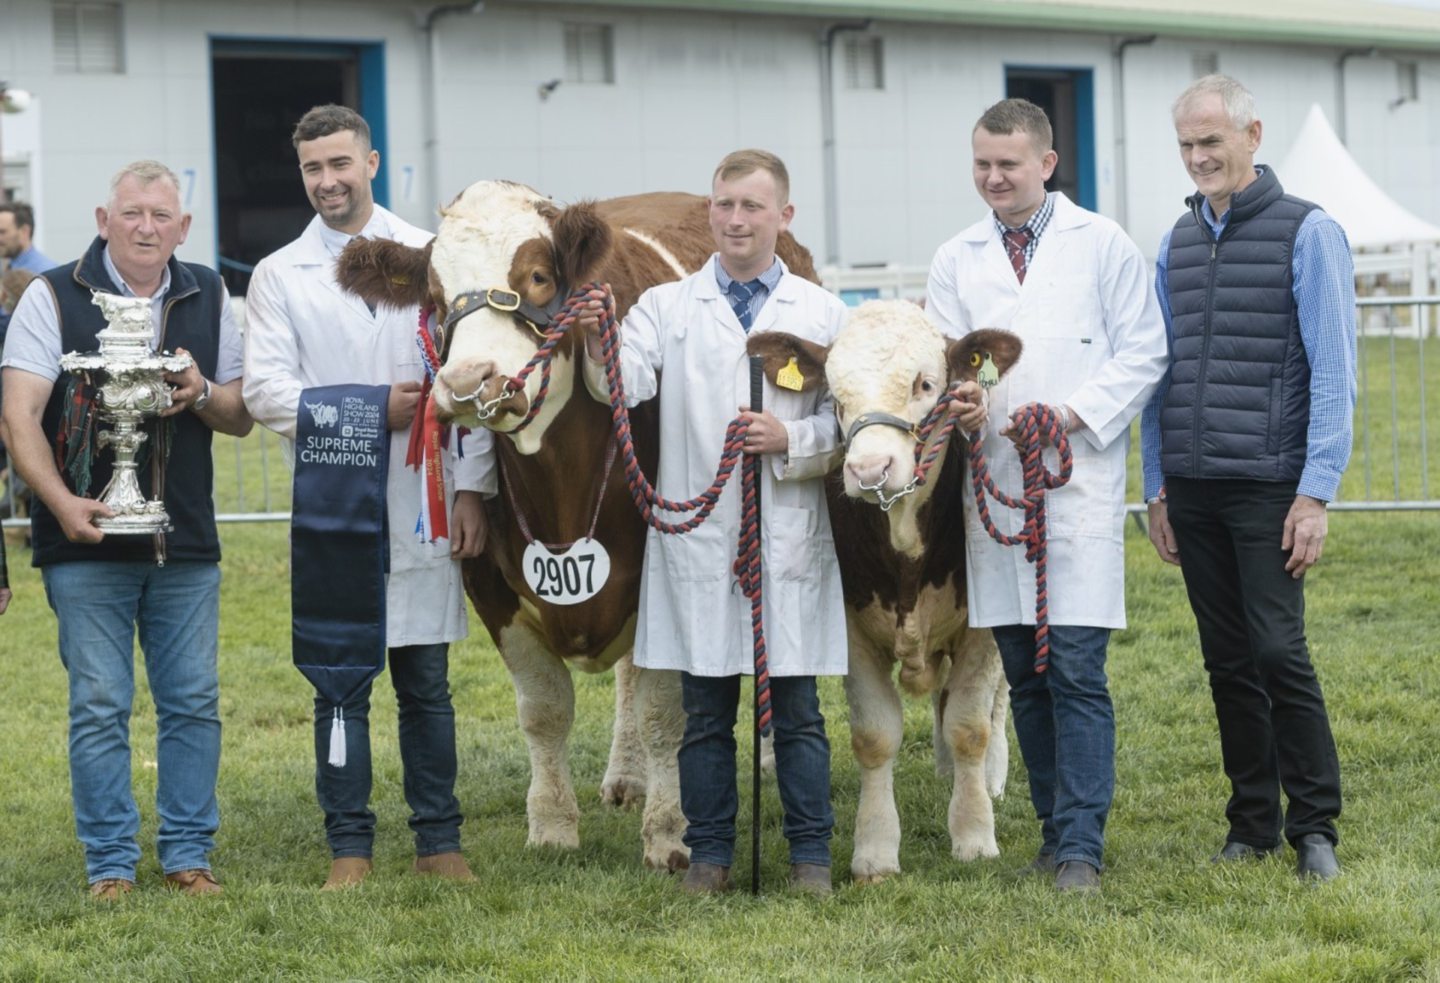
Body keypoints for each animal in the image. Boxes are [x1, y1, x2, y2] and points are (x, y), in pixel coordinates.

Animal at [329, 180, 817, 875]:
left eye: (536, 276)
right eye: (434, 296)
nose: (466, 382)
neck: (561, 475)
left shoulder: (661, 576)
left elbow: (665, 713)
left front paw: (669, 833)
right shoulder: (491, 586)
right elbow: (545, 709)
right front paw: (553, 826)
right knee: (628, 675)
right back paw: (626, 775)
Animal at [754, 302, 1025, 886]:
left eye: (925, 383)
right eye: (836, 396)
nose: (868, 469)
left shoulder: (981, 630)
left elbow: (971, 726)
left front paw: (974, 832)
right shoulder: (851, 629)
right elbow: (875, 736)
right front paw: (875, 850)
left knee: (993, 703)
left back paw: (989, 777)